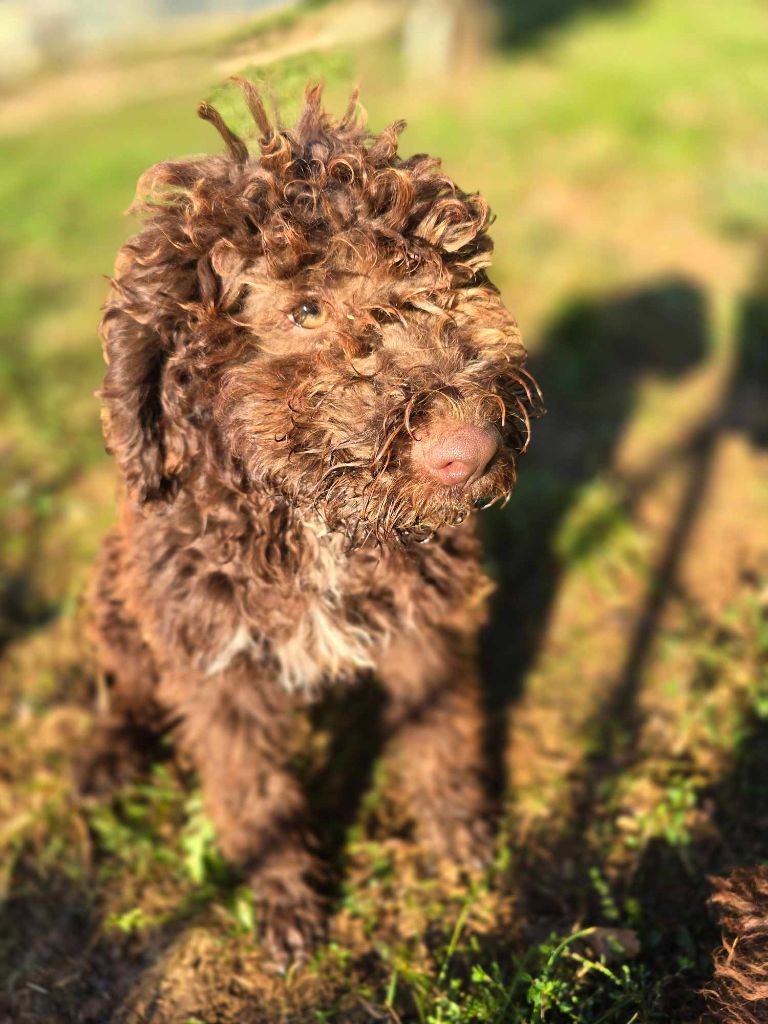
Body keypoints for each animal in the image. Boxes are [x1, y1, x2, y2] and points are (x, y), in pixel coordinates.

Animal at [82, 81, 540, 966]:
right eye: (304, 311)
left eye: (447, 274)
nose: (467, 450)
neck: (308, 525)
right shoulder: (215, 662)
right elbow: (252, 791)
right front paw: (287, 902)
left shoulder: (424, 618)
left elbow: (441, 735)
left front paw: (460, 837)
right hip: (117, 597)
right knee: (126, 685)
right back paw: (111, 757)